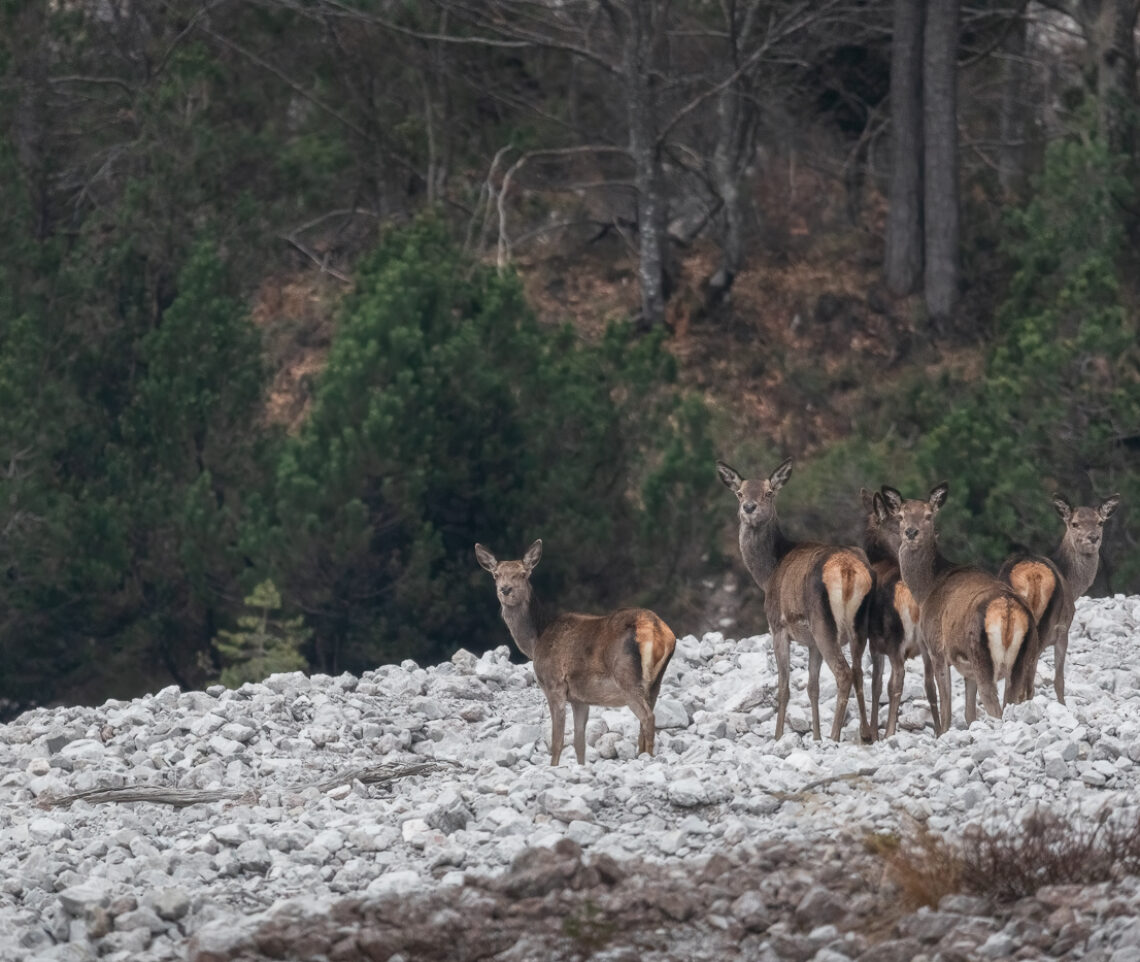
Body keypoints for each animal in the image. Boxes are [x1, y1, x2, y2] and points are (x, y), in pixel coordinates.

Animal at [474, 540, 674, 765]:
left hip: (627, 678)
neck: (536, 641)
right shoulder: (580, 698)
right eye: (496, 574)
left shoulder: (554, 684)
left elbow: (557, 741)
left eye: (523, 574)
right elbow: (580, 742)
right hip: (654, 683)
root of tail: (659, 632)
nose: (505, 589)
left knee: (647, 718)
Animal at [715, 460, 875, 743]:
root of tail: (847, 571)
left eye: (769, 492)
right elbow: (812, 687)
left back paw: (835, 736)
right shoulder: (811, 642)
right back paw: (865, 734)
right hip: (860, 626)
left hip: (824, 624)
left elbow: (784, 686)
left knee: (844, 673)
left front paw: (778, 736)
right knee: (858, 672)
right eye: (739, 493)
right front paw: (815, 736)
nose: (749, 508)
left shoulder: (777, 627)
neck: (768, 573)